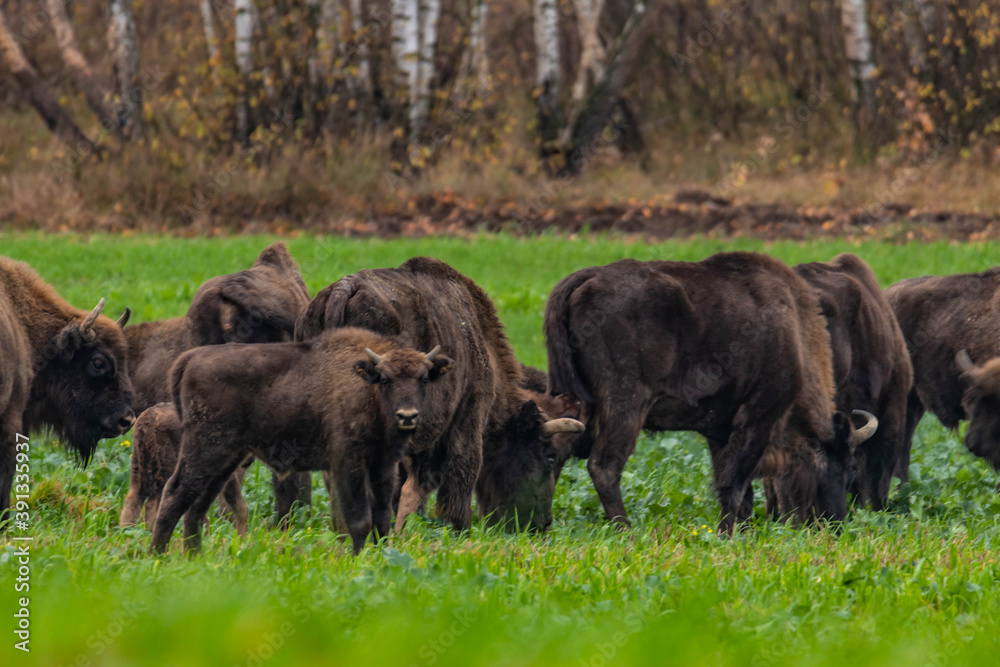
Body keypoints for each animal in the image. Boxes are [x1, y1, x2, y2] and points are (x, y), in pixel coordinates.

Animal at [150, 327, 452, 555]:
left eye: (424, 379)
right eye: (386, 379)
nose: (407, 416)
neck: (368, 388)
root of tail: (189, 359)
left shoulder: (383, 466)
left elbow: (382, 519)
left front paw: (380, 556)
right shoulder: (348, 463)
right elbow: (359, 519)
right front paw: (357, 559)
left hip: (226, 458)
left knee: (197, 503)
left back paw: (193, 556)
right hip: (205, 449)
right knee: (175, 492)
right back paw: (158, 555)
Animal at [295, 257, 584, 533]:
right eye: (550, 456)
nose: (542, 524)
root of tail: (345, 288)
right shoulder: (468, 418)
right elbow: (459, 477)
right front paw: (457, 529)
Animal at [544, 252, 851, 533]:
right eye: (833, 463)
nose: (837, 521)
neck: (794, 336)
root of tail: (590, 276)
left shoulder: (720, 430)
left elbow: (736, 488)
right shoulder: (759, 417)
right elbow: (734, 485)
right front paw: (727, 533)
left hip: (576, 402)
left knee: (557, 455)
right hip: (625, 405)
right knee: (604, 466)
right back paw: (626, 530)